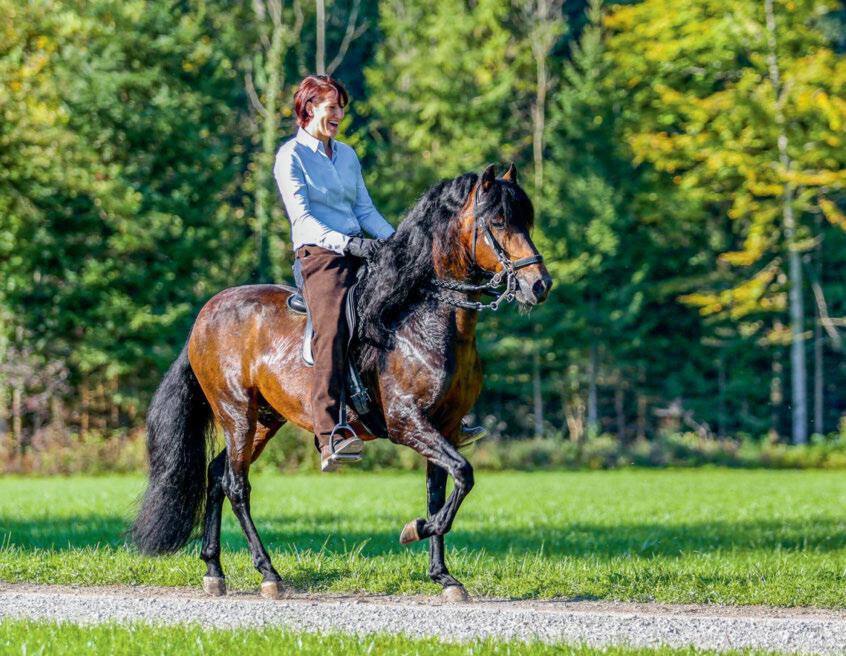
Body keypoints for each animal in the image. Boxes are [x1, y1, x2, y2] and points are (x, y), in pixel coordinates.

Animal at [130, 163, 552, 601]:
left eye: (526, 221)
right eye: (498, 222)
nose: (539, 285)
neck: (424, 321)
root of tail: (206, 314)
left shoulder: (445, 426)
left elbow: (441, 489)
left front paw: (444, 576)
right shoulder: (407, 424)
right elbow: (463, 475)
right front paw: (416, 530)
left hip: (263, 419)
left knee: (217, 475)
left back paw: (214, 570)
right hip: (236, 412)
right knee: (236, 485)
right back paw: (269, 574)